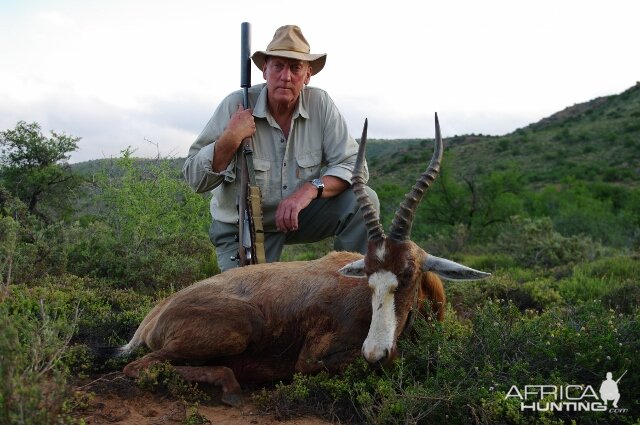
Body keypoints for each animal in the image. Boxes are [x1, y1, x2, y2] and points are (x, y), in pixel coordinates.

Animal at [109, 114, 490, 406]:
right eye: (368, 276)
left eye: (408, 273)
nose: (375, 353)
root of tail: (155, 313)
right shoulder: (311, 360)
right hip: (237, 329)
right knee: (138, 366)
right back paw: (231, 388)